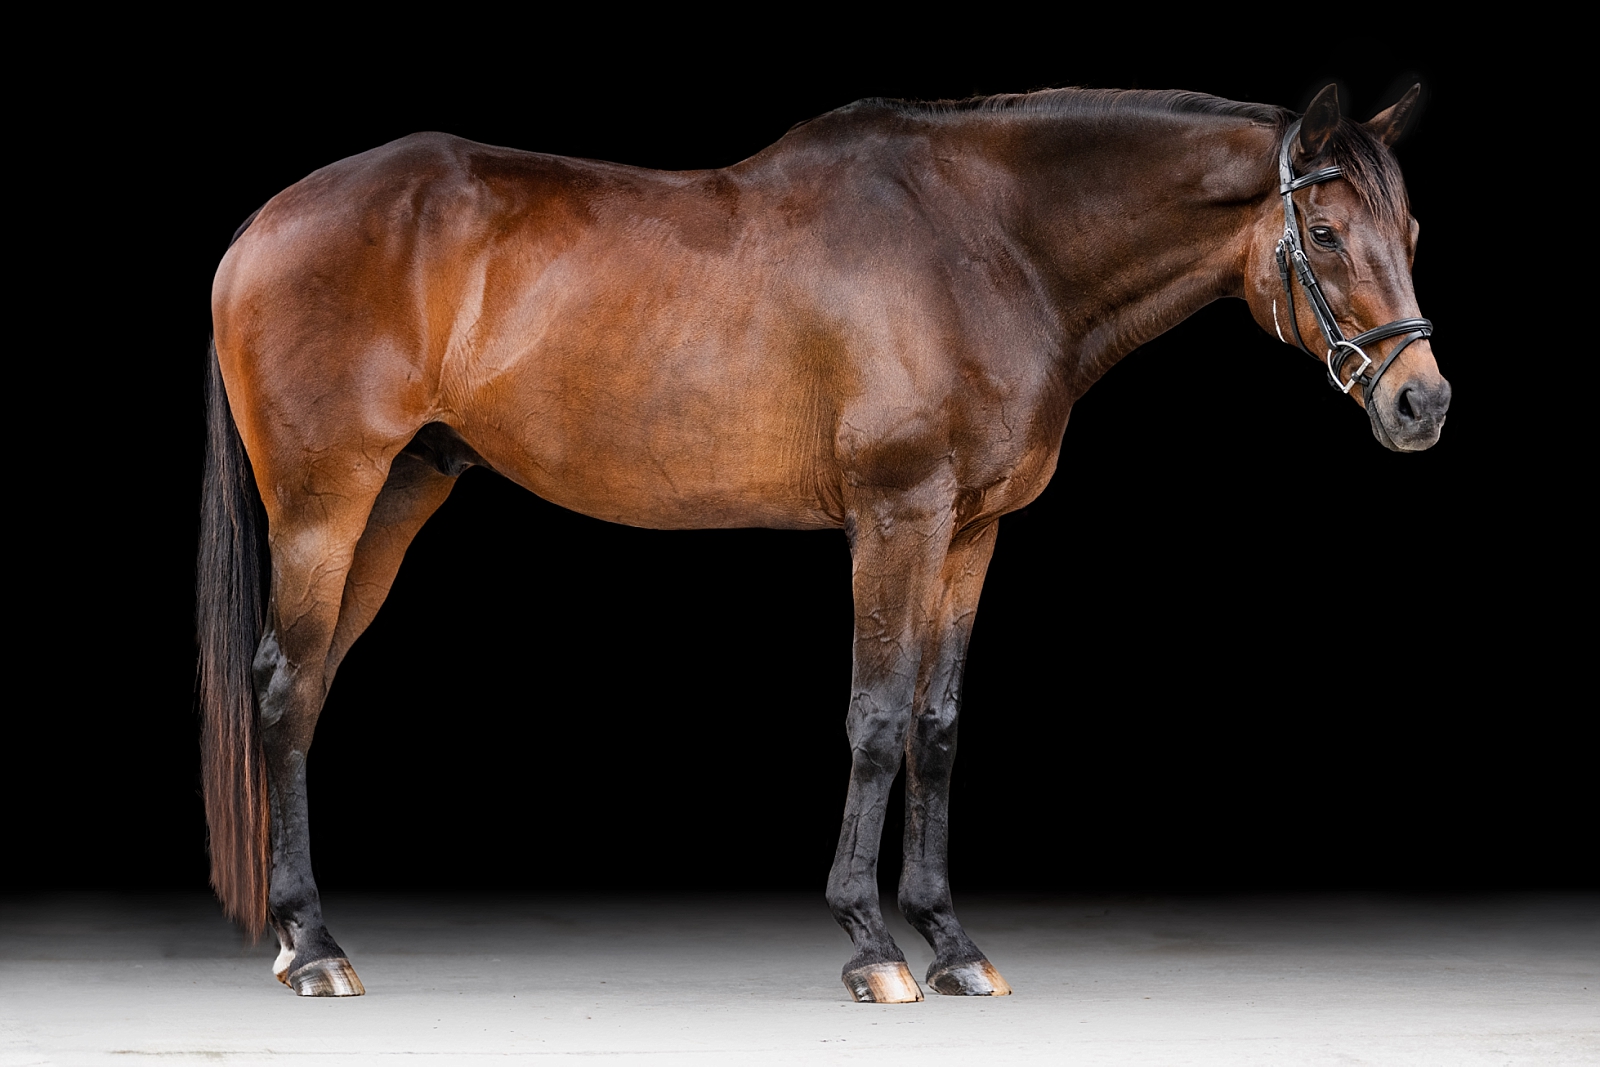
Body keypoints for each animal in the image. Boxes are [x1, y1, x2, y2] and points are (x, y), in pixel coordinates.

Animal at [200, 81, 1452, 1004]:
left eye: (1408, 230)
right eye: (1324, 231)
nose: (1421, 404)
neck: (986, 242)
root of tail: (263, 222)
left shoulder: (970, 530)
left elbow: (937, 728)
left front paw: (953, 942)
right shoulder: (896, 516)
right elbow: (876, 716)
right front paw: (872, 942)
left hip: (398, 495)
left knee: (308, 686)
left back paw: (302, 934)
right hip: (327, 501)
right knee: (283, 684)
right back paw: (314, 946)